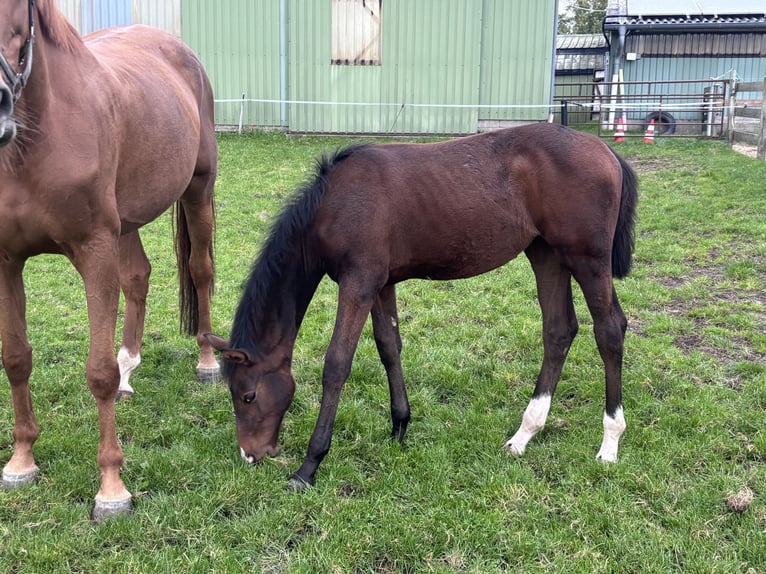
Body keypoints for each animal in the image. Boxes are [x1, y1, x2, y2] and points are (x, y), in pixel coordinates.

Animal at [0, 0, 219, 520]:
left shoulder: (94, 251)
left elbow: (97, 372)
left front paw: (112, 488)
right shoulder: (7, 260)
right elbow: (16, 357)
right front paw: (21, 460)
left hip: (198, 190)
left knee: (200, 272)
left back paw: (206, 363)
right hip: (128, 221)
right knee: (138, 278)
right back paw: (129, 366)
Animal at [207, 122, 638, 491]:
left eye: (247, 396)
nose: (251, 454)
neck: (333, 203)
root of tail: (606, 151)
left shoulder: (358, 283)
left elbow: (337, 364)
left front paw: (309, 467)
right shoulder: (380, 284)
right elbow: (389, 348)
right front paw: (400, 426)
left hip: (587, 259)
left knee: (609, 330)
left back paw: (610, 442)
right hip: (546, 254)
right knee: (558, 331)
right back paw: (524, 435)